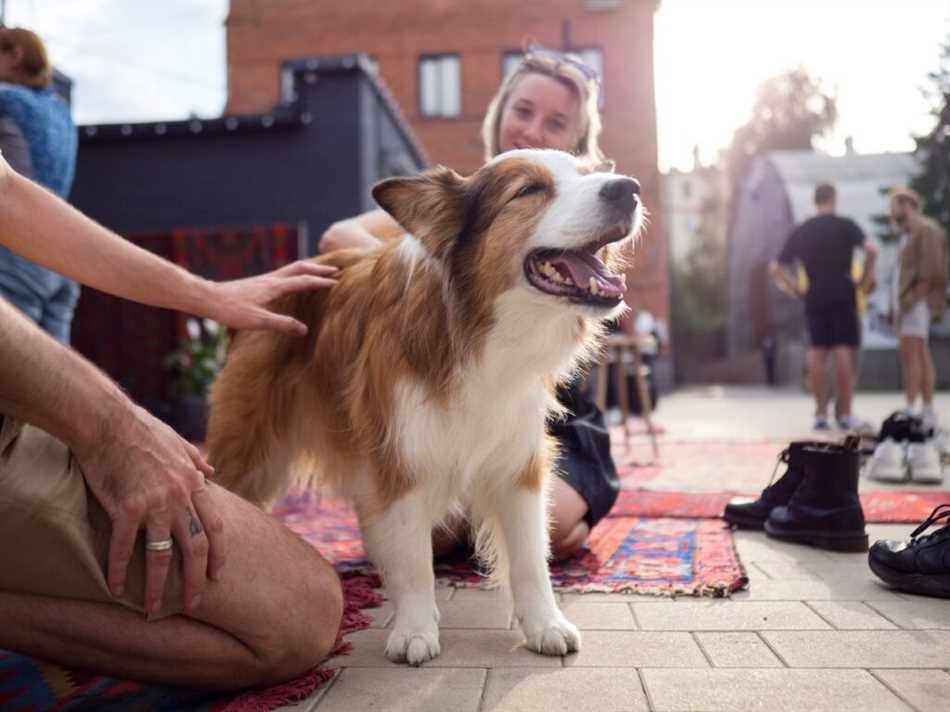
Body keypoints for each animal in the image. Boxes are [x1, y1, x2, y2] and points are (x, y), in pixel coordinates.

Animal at [206, 147, 640, 664]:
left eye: (589, 174)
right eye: (529, 190)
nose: (629, 188)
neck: (478, 333)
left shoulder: (517, 461)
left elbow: (531, 557)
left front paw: (544, 624)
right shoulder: (401, 456)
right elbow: (414, 561)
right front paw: (414, 629)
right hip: (249, 452)